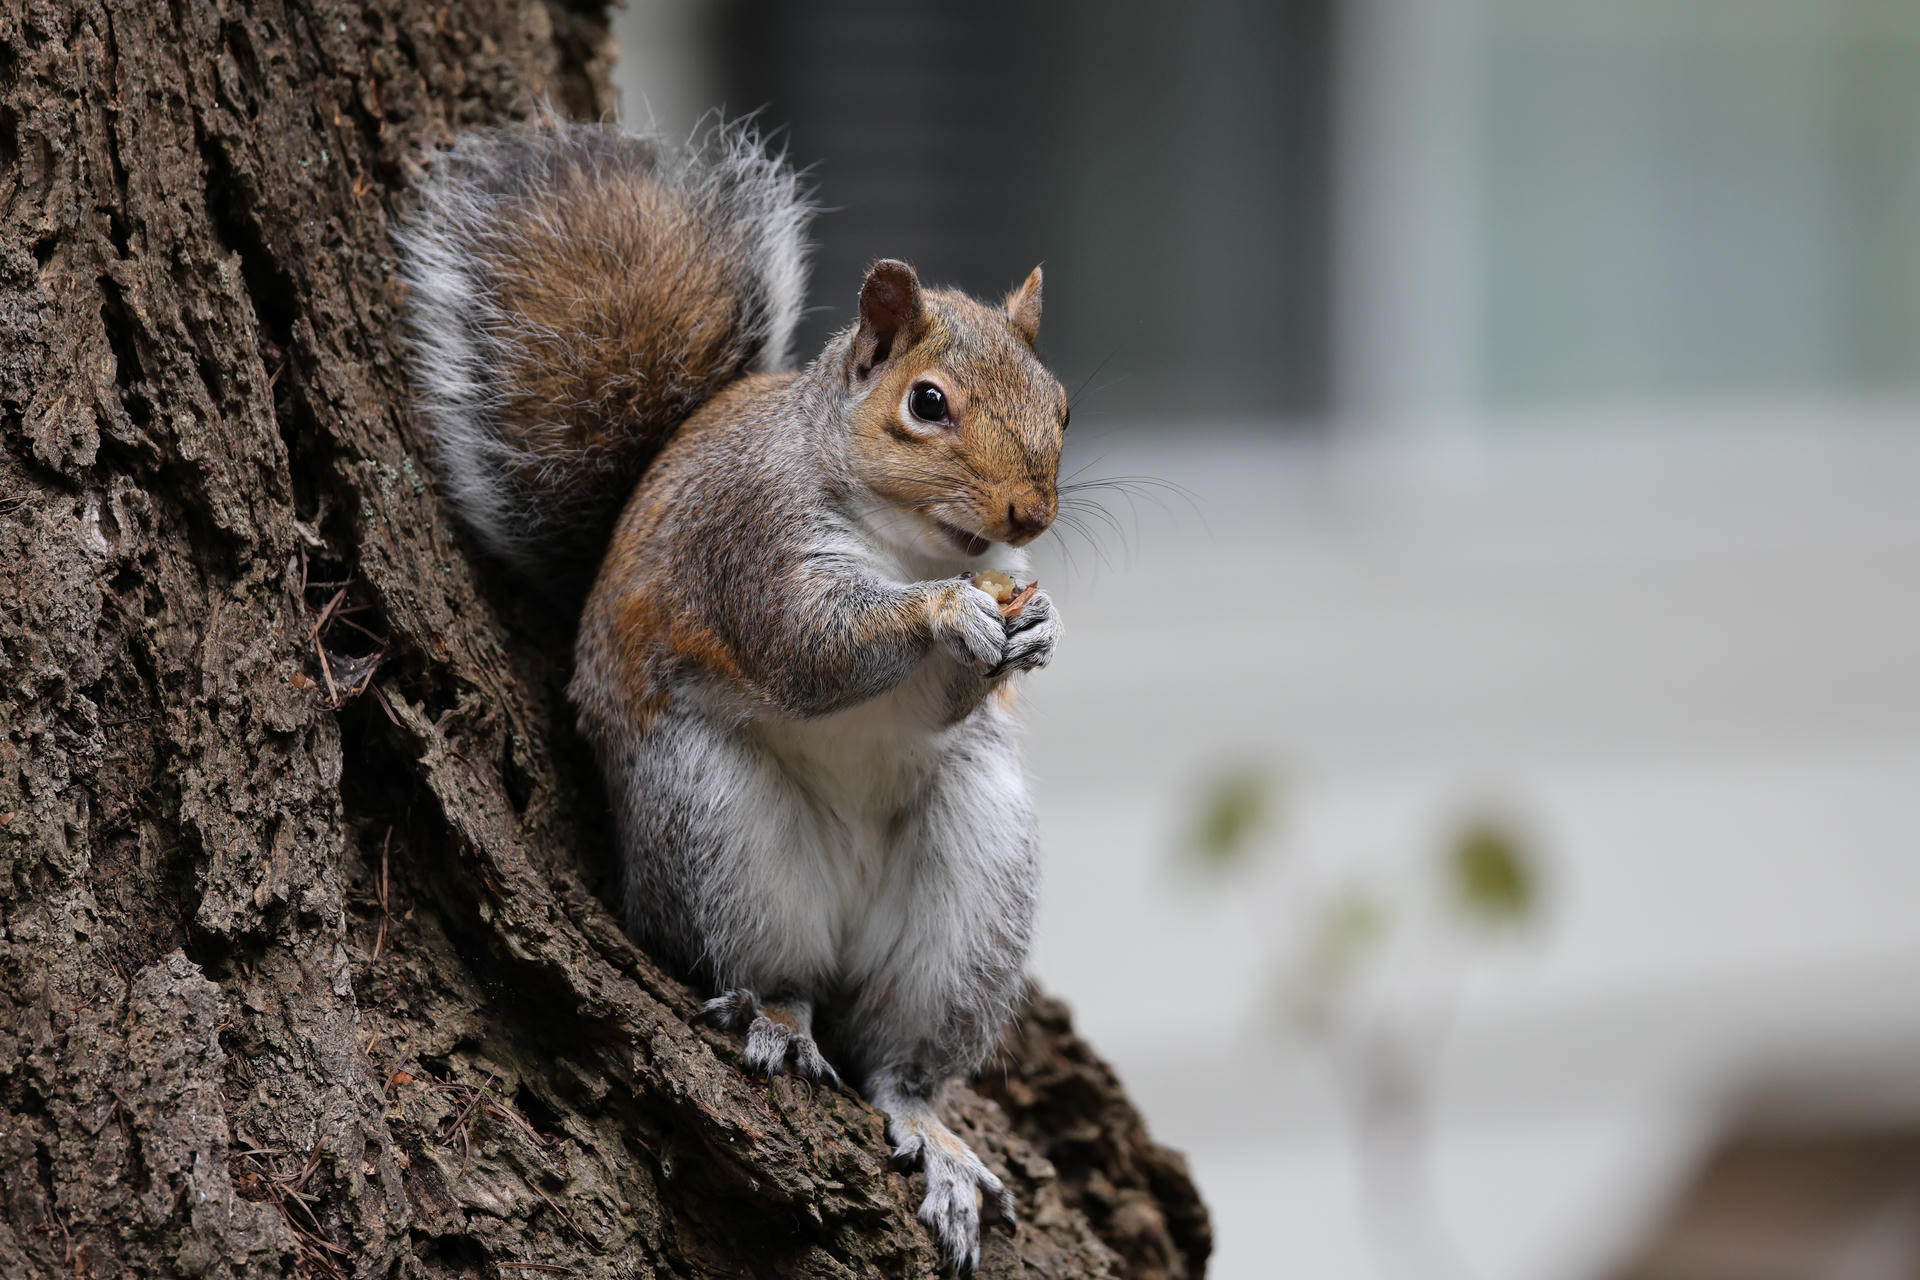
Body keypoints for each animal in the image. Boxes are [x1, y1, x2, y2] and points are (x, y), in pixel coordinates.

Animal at [397, 113, 1067, 1274]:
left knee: (899, 1059)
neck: (902, 541)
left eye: (1063, 403)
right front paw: (947, 611)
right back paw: (783, 1022)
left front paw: (1036, 625)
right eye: (927, 403)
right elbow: (806, 649)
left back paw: (933, 1135)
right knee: (772, 969)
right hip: (716, 825)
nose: (1029, 512)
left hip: (974, 885)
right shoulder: (746, 545)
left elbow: (941, 702)